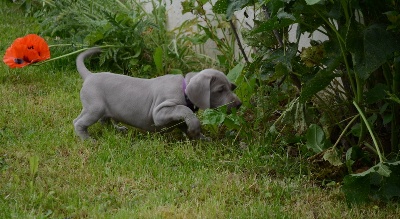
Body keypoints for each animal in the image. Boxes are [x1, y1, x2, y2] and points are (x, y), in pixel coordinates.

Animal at [72, 48, 241, 140]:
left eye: (232, 87)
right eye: (220, 90)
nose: (239, 104)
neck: (184, 89)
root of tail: (90, 76)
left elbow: (184, 121)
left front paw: (200, 137)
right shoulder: (159, 112)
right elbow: (184, 109)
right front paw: (195, 128)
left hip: (104, 109)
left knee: (104, 121)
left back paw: (117, 129)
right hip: (95, 107)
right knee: (78, 122)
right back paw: (87, 139)